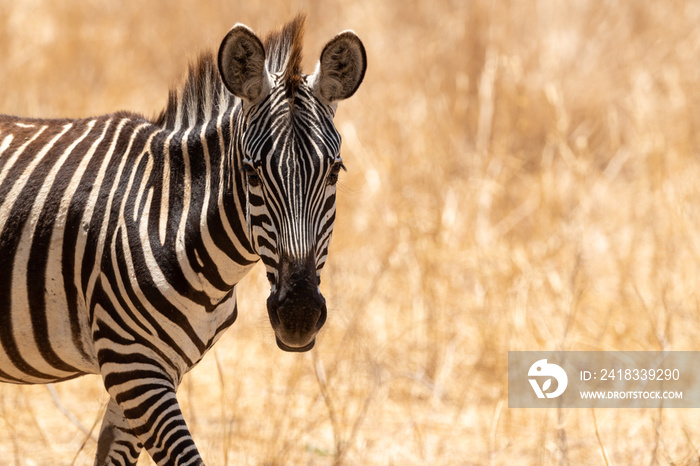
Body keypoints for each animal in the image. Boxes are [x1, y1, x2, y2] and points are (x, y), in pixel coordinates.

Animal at [0, 14, 370, 466]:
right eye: (251, 172)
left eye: (335, 171)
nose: (298, 316)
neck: (172, 221)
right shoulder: (132, 363)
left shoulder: (152, 370)